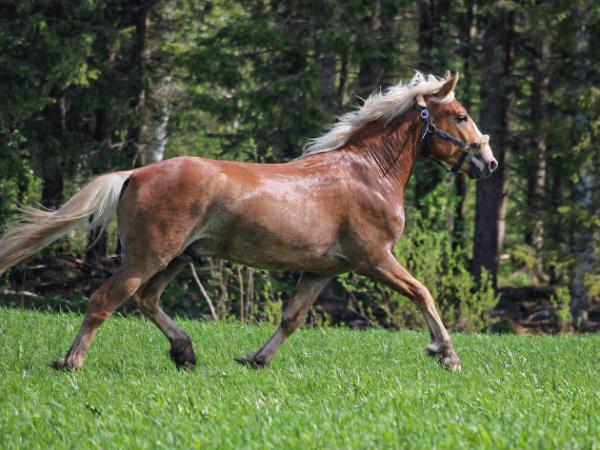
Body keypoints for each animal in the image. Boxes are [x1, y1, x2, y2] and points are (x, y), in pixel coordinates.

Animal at [0, 72, 497, 372]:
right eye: (462, 116)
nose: (488, 162)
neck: (368, 172)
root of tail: (134, 173)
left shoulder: (323, 270)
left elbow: (293, 318)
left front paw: (255, 359)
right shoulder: (374, 258)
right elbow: (423, 293)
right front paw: (446, 355)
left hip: (178, 258)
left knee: (145, 299)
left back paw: (184, 352)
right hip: (149, 255)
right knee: (106, 299)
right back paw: (71, 363)